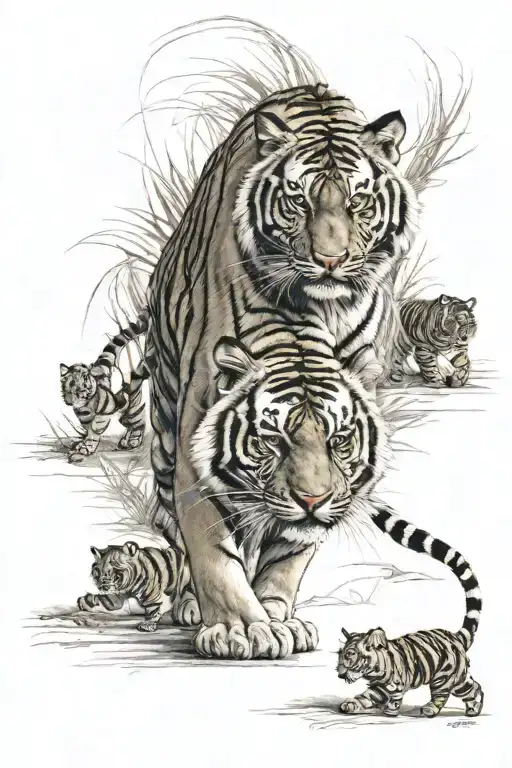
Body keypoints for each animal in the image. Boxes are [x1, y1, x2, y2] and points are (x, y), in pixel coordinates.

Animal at [60, 309, 150, 463]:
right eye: (67, 390)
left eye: (80, 391)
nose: (70, 402)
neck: (84, 407)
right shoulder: (85, 418)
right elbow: (87, 431)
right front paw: (80, 445)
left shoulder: (102, 416)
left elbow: (93, 433)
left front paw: (83, 450)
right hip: (124, 412)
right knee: (129, 424)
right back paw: (125, 440)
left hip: (131, 408)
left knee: (139, 421)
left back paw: (134, 440)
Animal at [147, 81, 421, 658]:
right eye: (300, 200)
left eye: (358, 201)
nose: (331, 260)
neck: (314, 315)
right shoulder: (194, 439)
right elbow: (212, 543)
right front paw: (239, 627)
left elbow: (293, 544)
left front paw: (277, 616)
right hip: (162, 425)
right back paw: (189, 604)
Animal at [337, 504, 483, 718]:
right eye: (339, 655)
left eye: (350, 655)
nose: (339, 674)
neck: (374, 671)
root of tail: (457, 636)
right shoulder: (377, 687)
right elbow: (365, 697)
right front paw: (351, 704)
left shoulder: (395, 685)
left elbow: (394, 698)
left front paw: (389, 711)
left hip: (447, 677)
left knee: (458, 691)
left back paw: (449, 709)